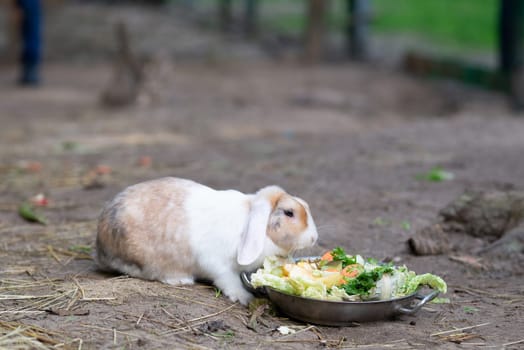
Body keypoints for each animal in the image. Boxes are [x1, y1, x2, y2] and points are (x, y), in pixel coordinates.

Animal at [95, 176, 320, 304]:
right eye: (289, 213)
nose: (314, 237)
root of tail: (100, 247)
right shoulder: (219, 266)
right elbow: (229, 282)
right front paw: (244, 298)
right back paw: (179, 279)